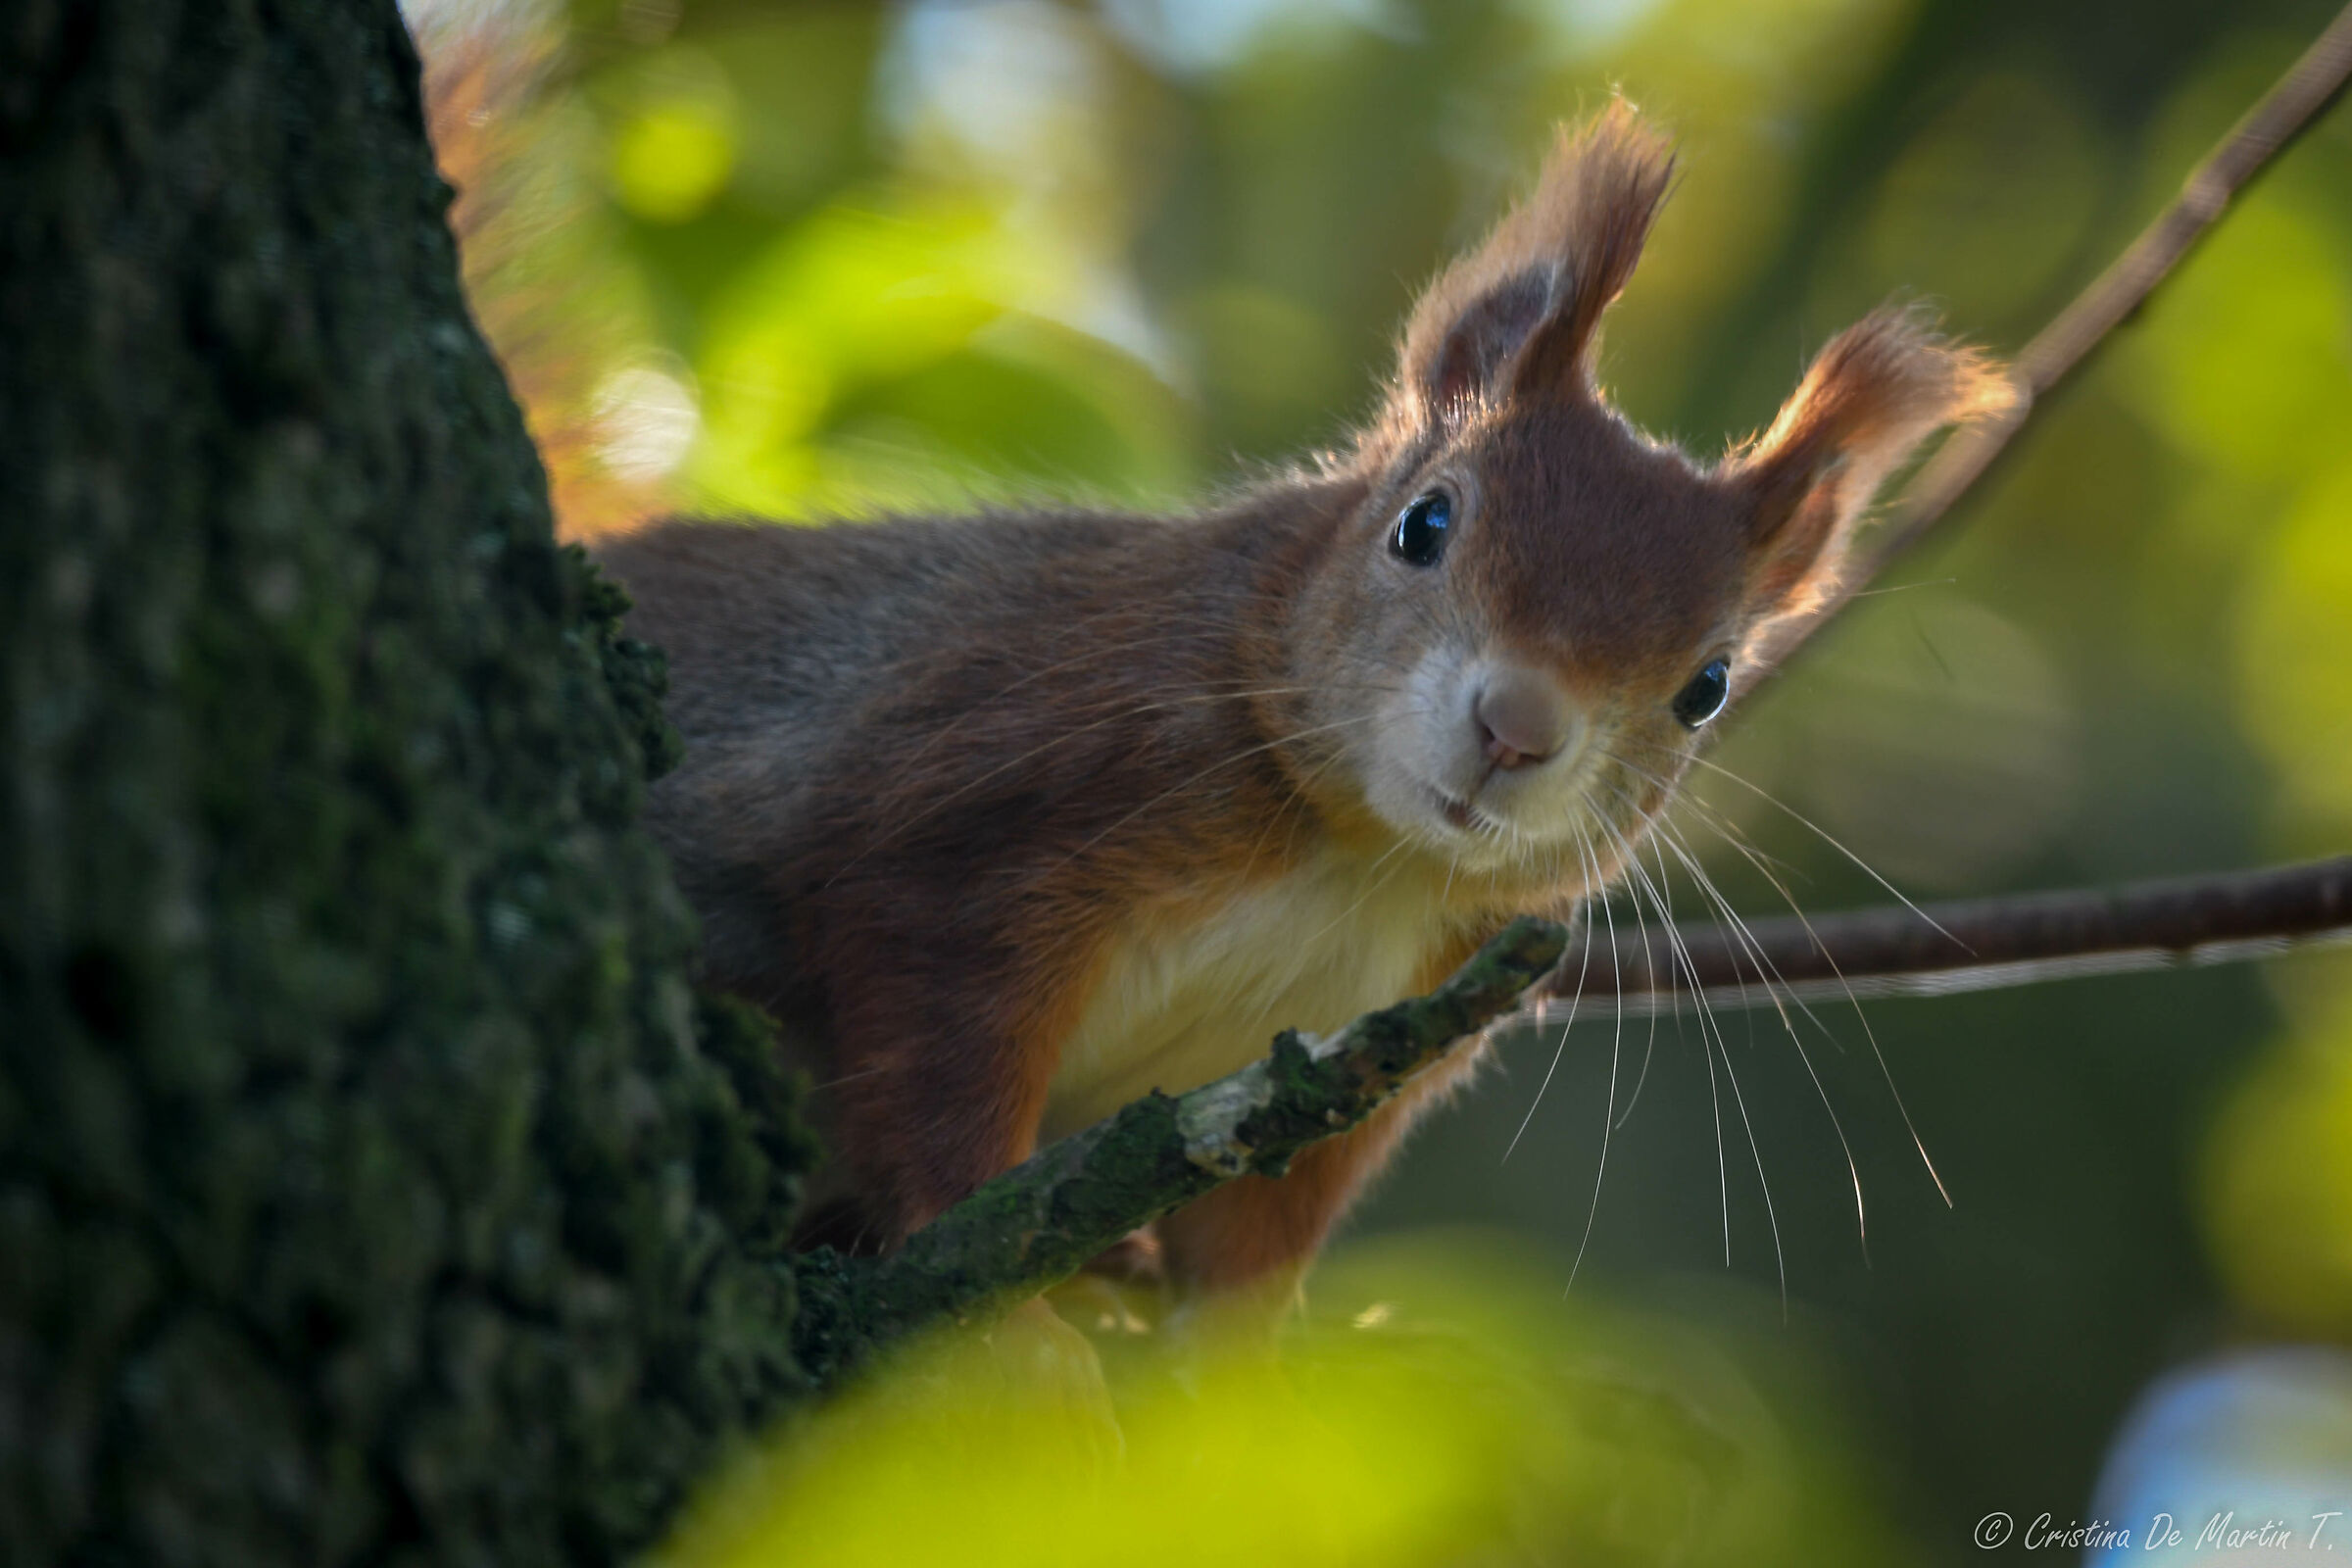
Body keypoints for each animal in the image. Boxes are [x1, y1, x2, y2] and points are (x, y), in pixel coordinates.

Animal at [595, 102, 2013, 1306]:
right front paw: (1032, 1339)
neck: (1361, 861)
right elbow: (937, 1082)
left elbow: (1254, 1249)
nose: (1517, 730)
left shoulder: (1373, 1055)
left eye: (1708, 686)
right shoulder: (984, 797)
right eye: (1424, 522)